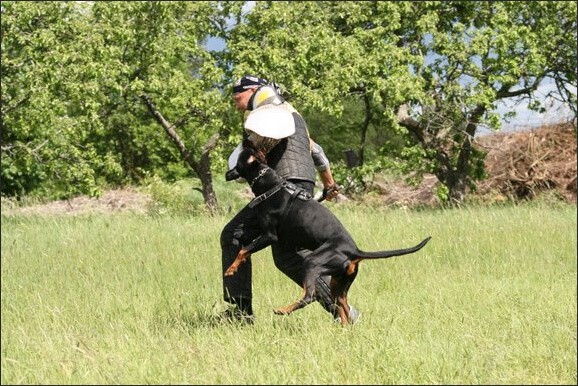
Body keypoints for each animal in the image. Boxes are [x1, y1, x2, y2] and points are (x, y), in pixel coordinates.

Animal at [223, 146, 430, 324]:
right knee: (342, 306)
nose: (226, 173)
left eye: (237, 162)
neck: (271, 186)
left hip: (312, 263)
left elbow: (243, 250)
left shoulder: (269, 235)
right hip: (339, 283)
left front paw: (231, 269)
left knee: (309, 296)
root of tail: (354, 251)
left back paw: (283, 309)